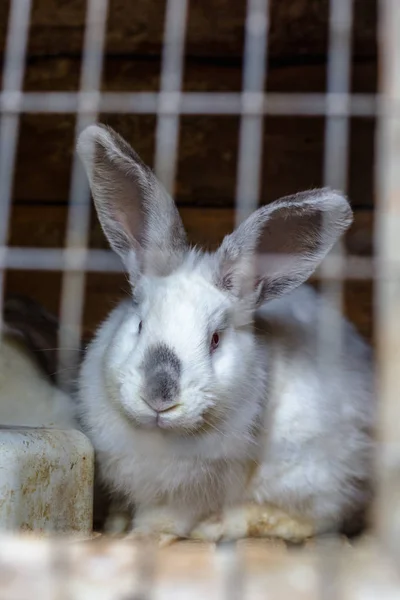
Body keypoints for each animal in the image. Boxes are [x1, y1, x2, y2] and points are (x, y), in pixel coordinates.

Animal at [76, 123, 376, 544]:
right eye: (139, 323)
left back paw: (222, 526)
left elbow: (166, 520)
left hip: (310, 472)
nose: (159, 395)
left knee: (313, 521)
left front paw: (142, 538)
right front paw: (116, 526)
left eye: (215, 339)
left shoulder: (187, 497)